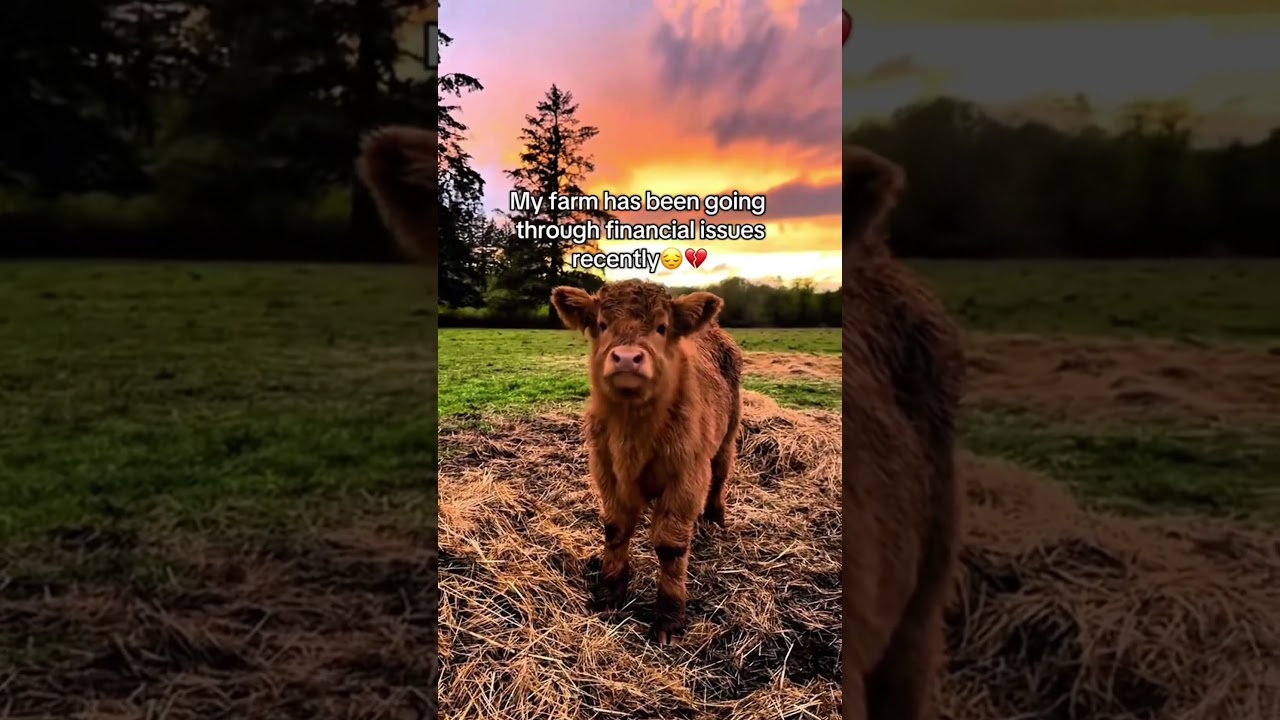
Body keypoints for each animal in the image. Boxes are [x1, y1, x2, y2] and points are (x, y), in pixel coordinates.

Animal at [550, 280, 743, 645]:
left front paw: (669, 617)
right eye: (602, 324)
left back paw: (714, 518)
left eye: (661, 327)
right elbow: (615, 529)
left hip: (728, 435)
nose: (627, 358)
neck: (633, 435)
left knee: (720, 475)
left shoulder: (687, 477)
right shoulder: (606, 470)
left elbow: (670, 546)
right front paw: (610, 594)